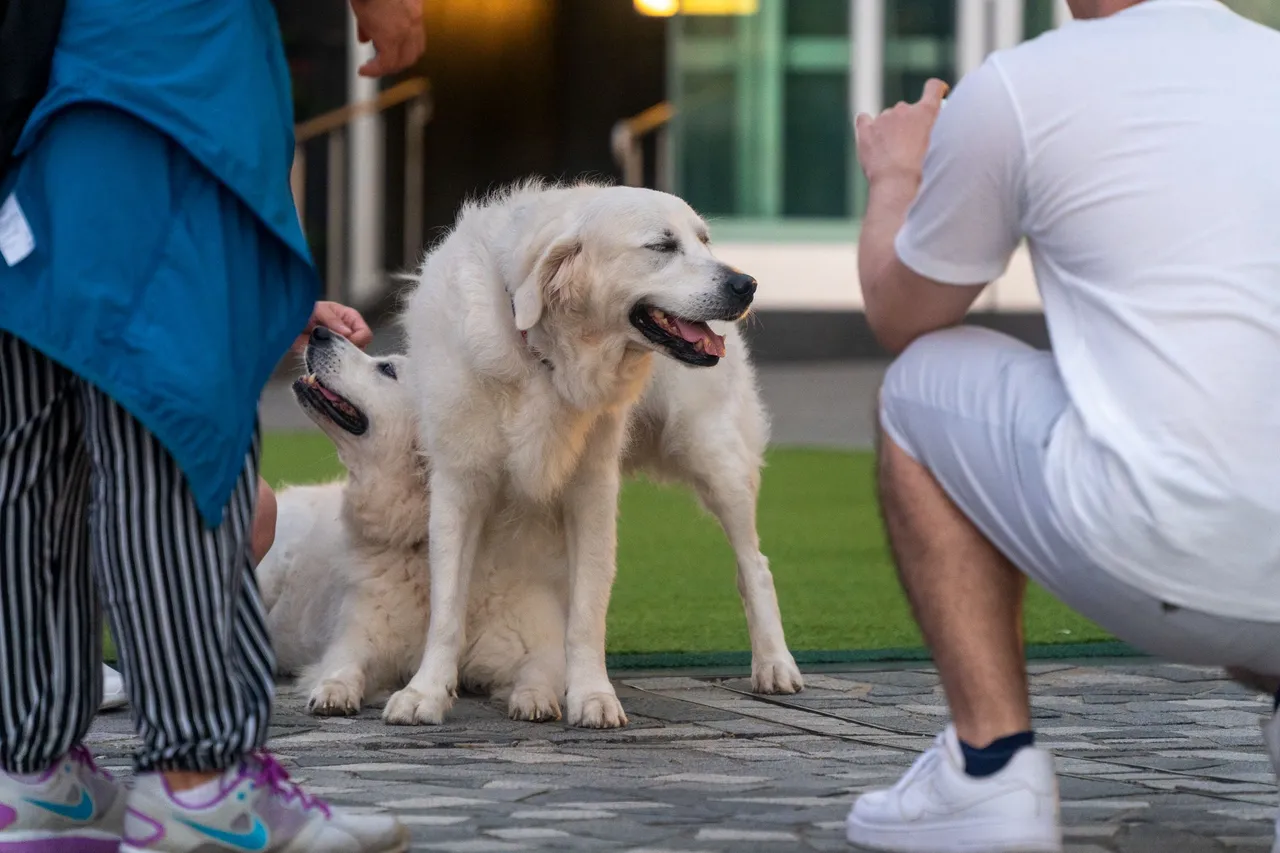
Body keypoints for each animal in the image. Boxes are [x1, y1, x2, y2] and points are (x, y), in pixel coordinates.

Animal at [381, 179, 798, 722]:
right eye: (662, 246)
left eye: (704, 241)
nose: (746, 284)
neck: (543, 354)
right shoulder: (459, 483)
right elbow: (447, 605)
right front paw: (426, 692)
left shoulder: (592, 489)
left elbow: (587, 609)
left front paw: (593, 696)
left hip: (714, 456)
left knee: (754, 565)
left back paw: (775, 664)